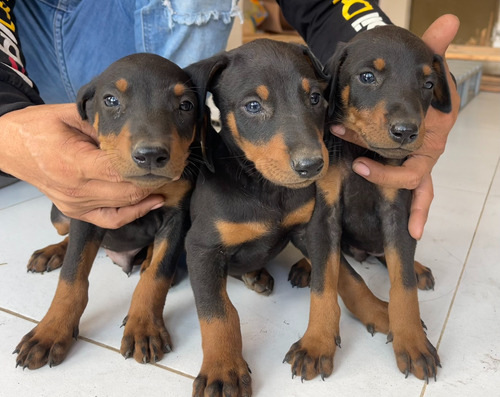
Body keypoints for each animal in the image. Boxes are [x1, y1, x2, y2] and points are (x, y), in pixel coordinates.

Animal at [13, 52, 199, 368]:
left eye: (185, 105)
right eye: (111, 100)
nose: (151, 155)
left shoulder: (177, 216)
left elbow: (156, 276)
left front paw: (144, 326)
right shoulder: (87, 209)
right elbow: (72, 277)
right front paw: (50, 331)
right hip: (59, 213)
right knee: (67, 234)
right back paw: (51, 252)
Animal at [185, 38, 332, 396]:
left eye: (314, 98)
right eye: (253, 106)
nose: (312, 166)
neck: (264, 186)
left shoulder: (311, 228)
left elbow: (327, 286)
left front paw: (318, 344)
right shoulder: (201, 248)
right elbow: (218, 312)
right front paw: (222, 371)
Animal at [288, 25, 452, 380]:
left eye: (428, 84)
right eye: (367, 76)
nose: (406, 132)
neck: (362, 150)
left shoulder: (397, 213)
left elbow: (403, 286)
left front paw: (413, 343)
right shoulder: (325, 213)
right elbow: (324, 284)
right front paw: (316, 343)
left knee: (391, 258)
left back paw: (417, 267)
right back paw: (306, 265)